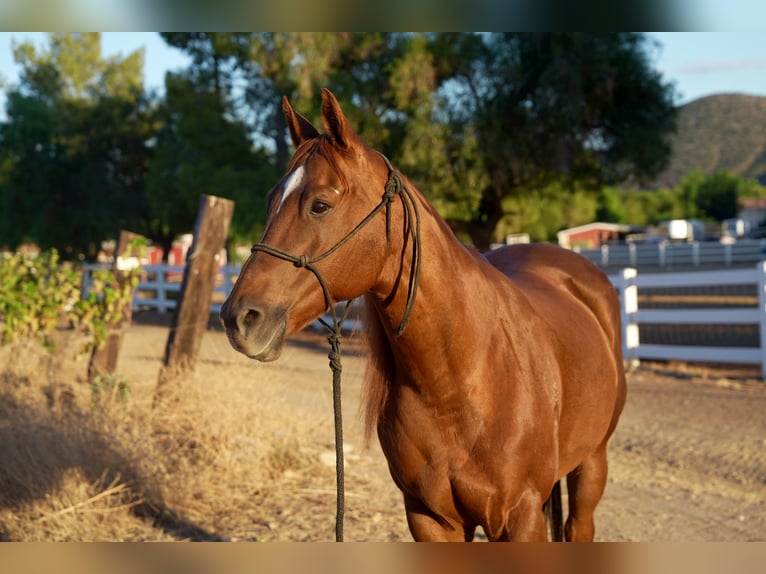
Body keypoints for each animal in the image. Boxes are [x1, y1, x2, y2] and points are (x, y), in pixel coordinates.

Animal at [220, 88, 627, 542]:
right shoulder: (430, 517)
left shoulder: (521, 517)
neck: (459, 383)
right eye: (272, 200)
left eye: (320, 205)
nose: (238, 317)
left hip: (592, 464)